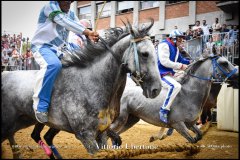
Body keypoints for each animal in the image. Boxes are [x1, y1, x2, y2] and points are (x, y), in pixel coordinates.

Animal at [1, 18, 161, 158]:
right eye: (144, 54)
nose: (156, 89)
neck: (91, 83)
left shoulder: (101, 132)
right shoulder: (85, 134)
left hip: (23, 120)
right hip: (11, 121)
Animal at [109, 55, 238, 144]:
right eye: (224, 63)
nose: (237, 76)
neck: (189, 94)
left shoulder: (190, 123)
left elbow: (199, 135)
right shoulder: (178, 124)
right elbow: (191, 140)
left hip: (131, 119)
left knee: (113, 134)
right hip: (121, 118)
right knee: (108, 132)